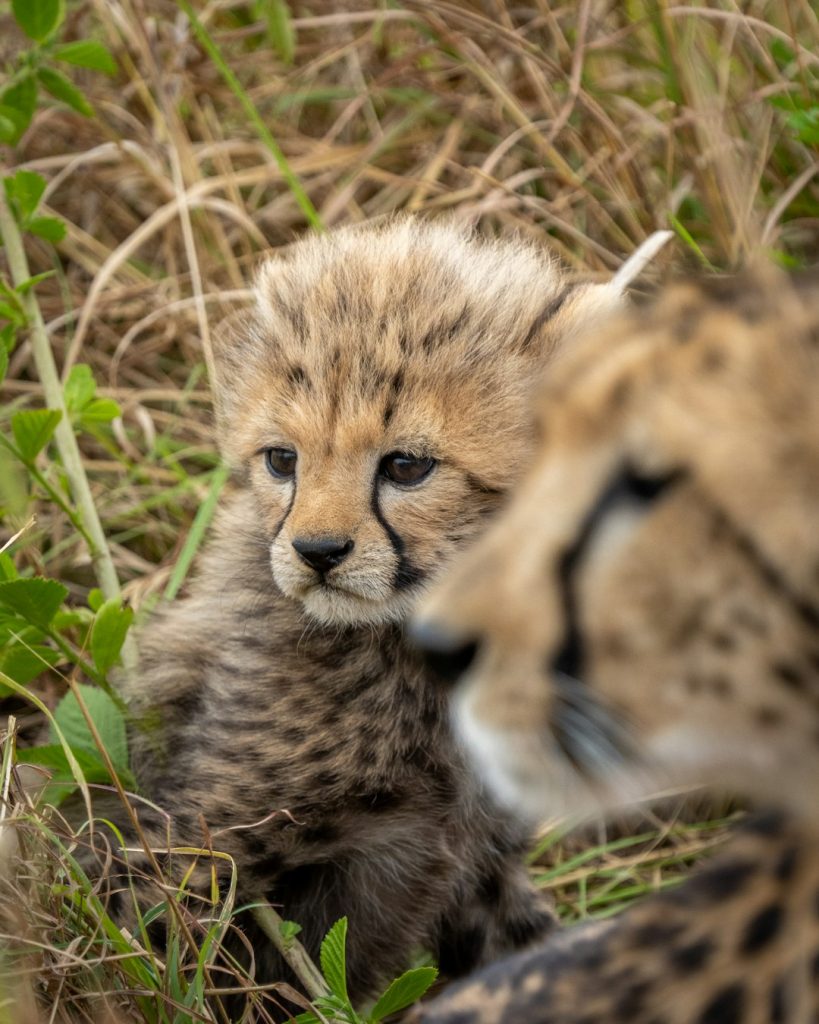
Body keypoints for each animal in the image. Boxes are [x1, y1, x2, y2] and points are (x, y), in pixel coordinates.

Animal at [113, 218, 650, 1011]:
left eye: (406, 466)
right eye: (282, 460)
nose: (316, 551)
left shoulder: (481, 863)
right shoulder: (198, 843)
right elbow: (149, 965)